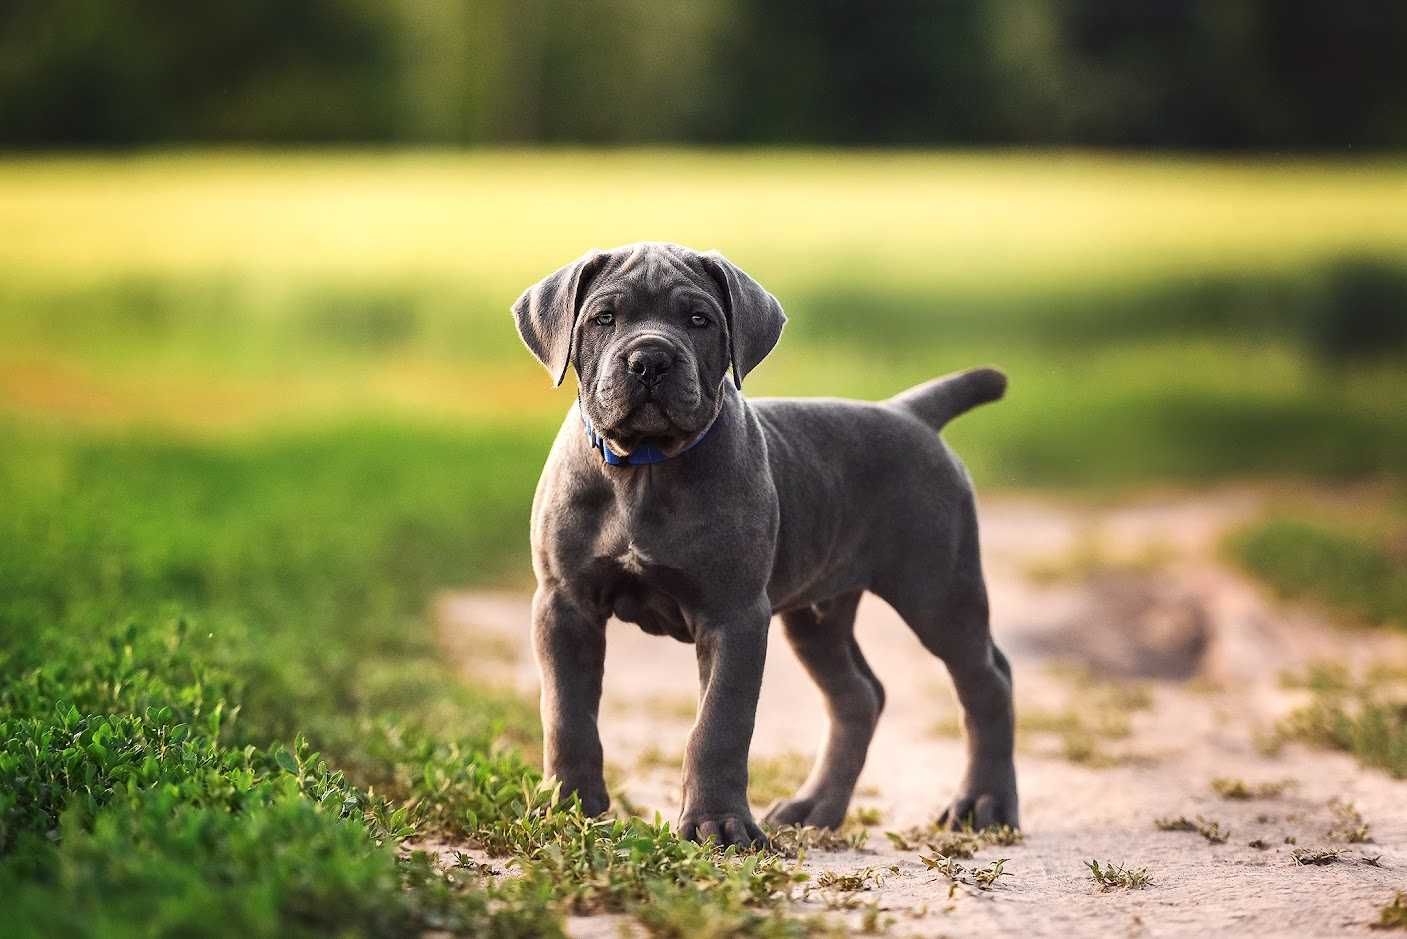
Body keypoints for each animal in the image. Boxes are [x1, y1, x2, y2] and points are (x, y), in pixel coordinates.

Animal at [512, 239, 1018, 850]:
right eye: (604, 318)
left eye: (699, 320)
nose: (650, 360)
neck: (646, 469)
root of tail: (910, 413)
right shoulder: (564, 604)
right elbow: (567, 713)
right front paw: (567, 808)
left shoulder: (733, 615)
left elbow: (719, 725)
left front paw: (718, 824)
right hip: (819, 613)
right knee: (859, 695)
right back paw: (814, 808)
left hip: (938, 591)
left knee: (987, 682)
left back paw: (985, 803)